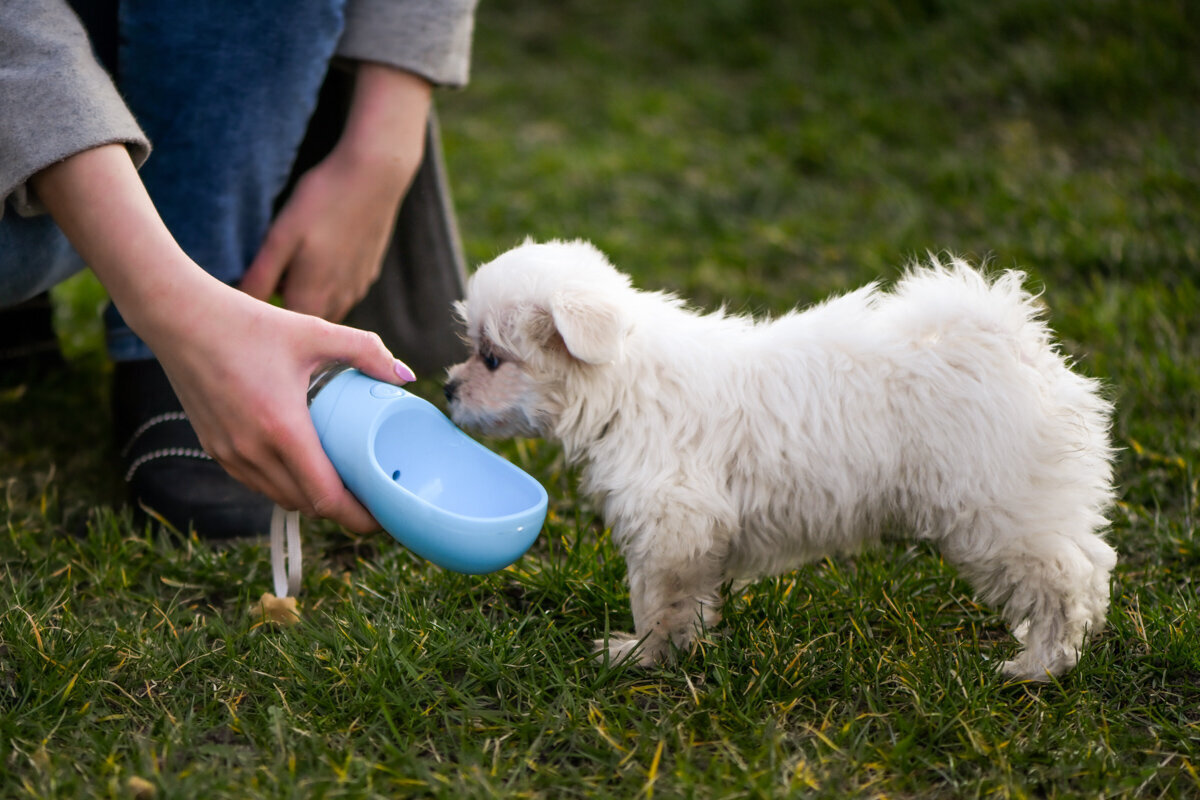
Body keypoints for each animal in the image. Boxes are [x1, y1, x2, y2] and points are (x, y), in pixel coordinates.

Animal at [444, 239, 1113, 681]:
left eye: (492, 358)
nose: (448, 387)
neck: (626, 378)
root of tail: (1011, 342)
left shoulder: (672, 521)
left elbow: (657, 598)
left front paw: (642, 656)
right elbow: (682, 598)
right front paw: (677, 649)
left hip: (998, 512)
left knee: (1066, 579)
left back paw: (1039, 666)